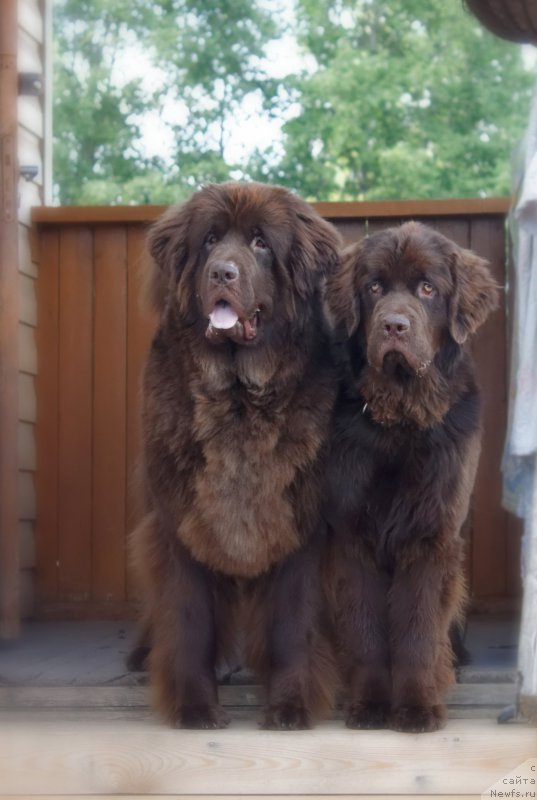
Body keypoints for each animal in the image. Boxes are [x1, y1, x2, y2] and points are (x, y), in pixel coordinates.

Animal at [131, 183, 340, 732]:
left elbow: (291, 625)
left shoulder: (301, 528)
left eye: (261, 243)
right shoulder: (178, 523)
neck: (239, 400)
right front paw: (194, 709)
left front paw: (289, 708)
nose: (222, 272)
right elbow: (190, 622)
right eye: (209, 241)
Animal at [322, 220, 498, 732]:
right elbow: (365, 629)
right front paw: (369, 705)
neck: (401, 417)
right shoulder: (352, 534)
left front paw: (418, 707)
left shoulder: (431, 535)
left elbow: (418, 629)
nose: (394, 326)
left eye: (427, 289)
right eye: (374, 288)